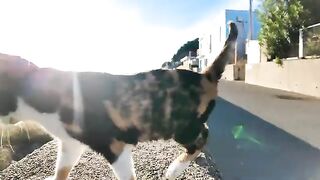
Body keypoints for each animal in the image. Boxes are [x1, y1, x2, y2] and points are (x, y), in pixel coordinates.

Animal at [0, 21, 238, 179]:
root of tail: (205, 75)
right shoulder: (70, 143)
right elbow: (62, 168)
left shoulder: (113, 145)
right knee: (203, 132)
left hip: (179, 126)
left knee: (203, 136)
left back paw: (174, 169)